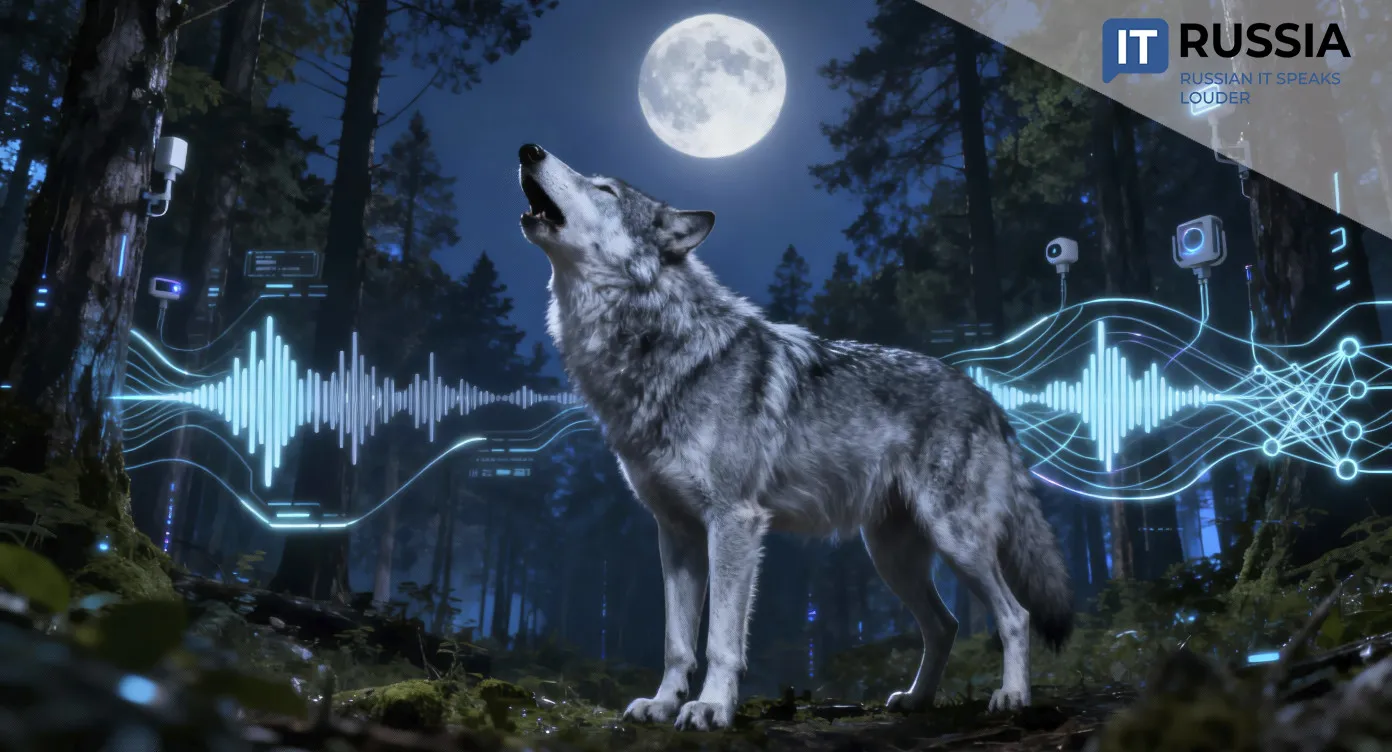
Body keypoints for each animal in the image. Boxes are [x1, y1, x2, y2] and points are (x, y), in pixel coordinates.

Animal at [515, 143, 1074, 731]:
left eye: (604, 190)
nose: (530, 150)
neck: (658, 347)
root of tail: (989, 400)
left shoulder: (735, 522)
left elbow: (720, 641)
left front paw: (711, 707)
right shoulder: (676, 533)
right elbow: (676, 641)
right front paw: (663, 704)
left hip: (956, 542)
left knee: (1015, 615)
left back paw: (1012, 696)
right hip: (891, 557)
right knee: (944, 625)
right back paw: (916, 701)